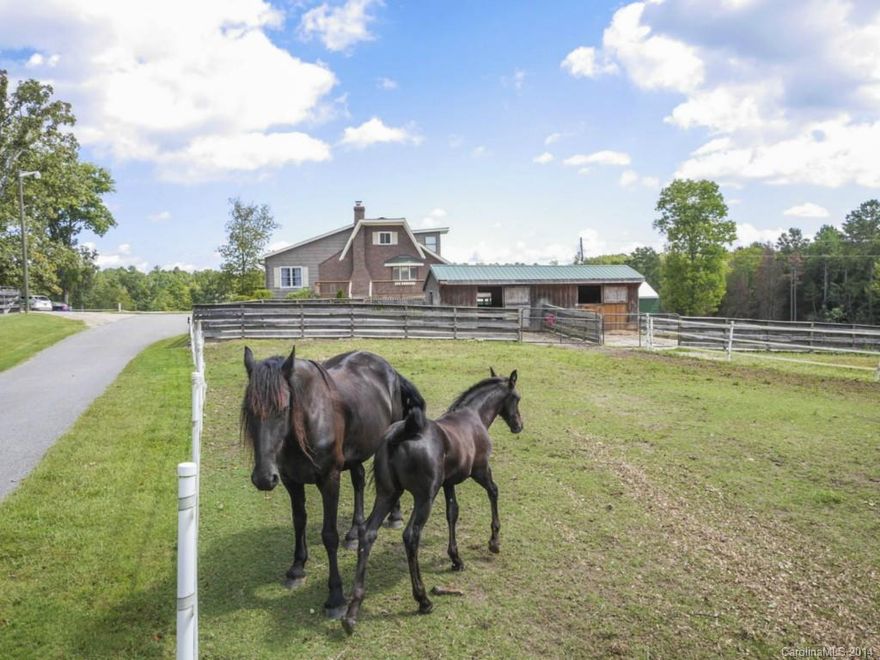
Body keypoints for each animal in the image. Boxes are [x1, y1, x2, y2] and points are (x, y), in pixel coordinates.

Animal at [241, 345, 424, 618]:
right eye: (249, 410)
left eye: (283, 409)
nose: (263, 478)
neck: (309, 420)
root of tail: (390, 370)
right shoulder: (290, 480)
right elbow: (299, 521)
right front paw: (297, 568)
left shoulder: (329, 480)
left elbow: (329, 535)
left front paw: (336, 596)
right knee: (359, 480)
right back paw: (355, 532)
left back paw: (394, 516)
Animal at [341, 368, 523, 633]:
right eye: (517, 398)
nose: (519, 425)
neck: (474, 416)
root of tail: (399, 435)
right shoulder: (480, 470)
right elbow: (494, 492)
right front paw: (494, 542)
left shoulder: (448, 483)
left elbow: (452, 513)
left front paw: (456, 559)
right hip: (424, 497)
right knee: (411, 536)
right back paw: (423, 600)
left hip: (387, 494)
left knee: (368, 533)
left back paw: (352, 612)